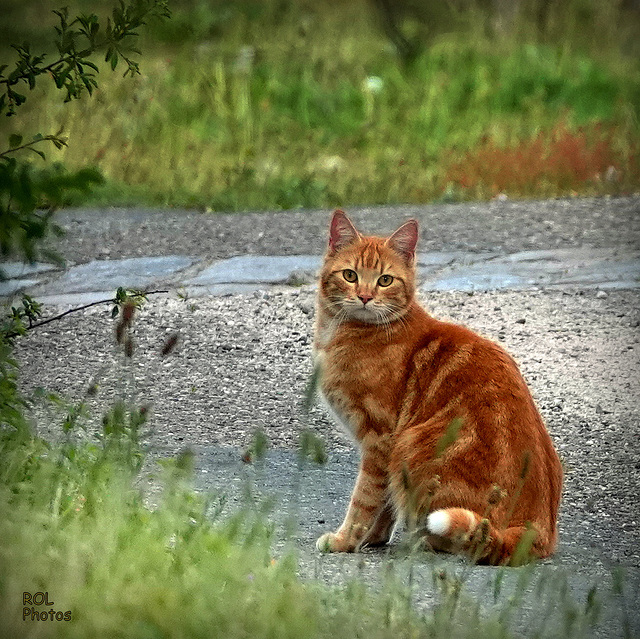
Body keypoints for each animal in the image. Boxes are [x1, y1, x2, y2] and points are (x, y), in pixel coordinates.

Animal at [312, 209, 564, 564]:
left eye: (385, 280)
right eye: (350, 275)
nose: (364, 296)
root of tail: (539, 531)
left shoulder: (381, 439)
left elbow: (364, 500)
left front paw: (345, 540)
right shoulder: (385, 450)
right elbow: (386, 503)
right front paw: (373, 538)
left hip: (411, 446)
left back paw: (424, 540)